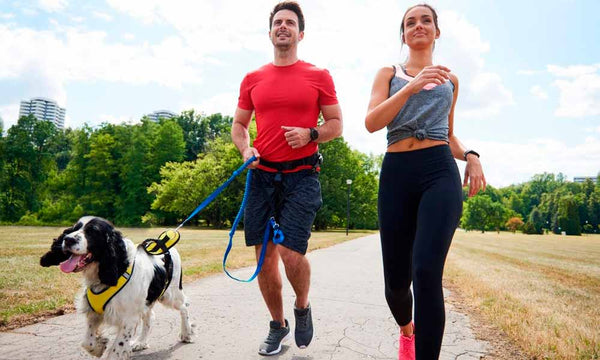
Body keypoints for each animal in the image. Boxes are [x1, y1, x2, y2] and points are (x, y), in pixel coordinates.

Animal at [39, 217, 193, 360]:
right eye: (74, 228)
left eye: (92, 231)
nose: (68, 239)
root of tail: (165, 246)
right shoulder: (95, 313)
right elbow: (87, 342)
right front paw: (100, 346)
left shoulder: (128, 319)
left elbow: (116, 349)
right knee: (150, 317)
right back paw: (141, 342)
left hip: (171, 294)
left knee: (184, 306)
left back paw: (186, 333)